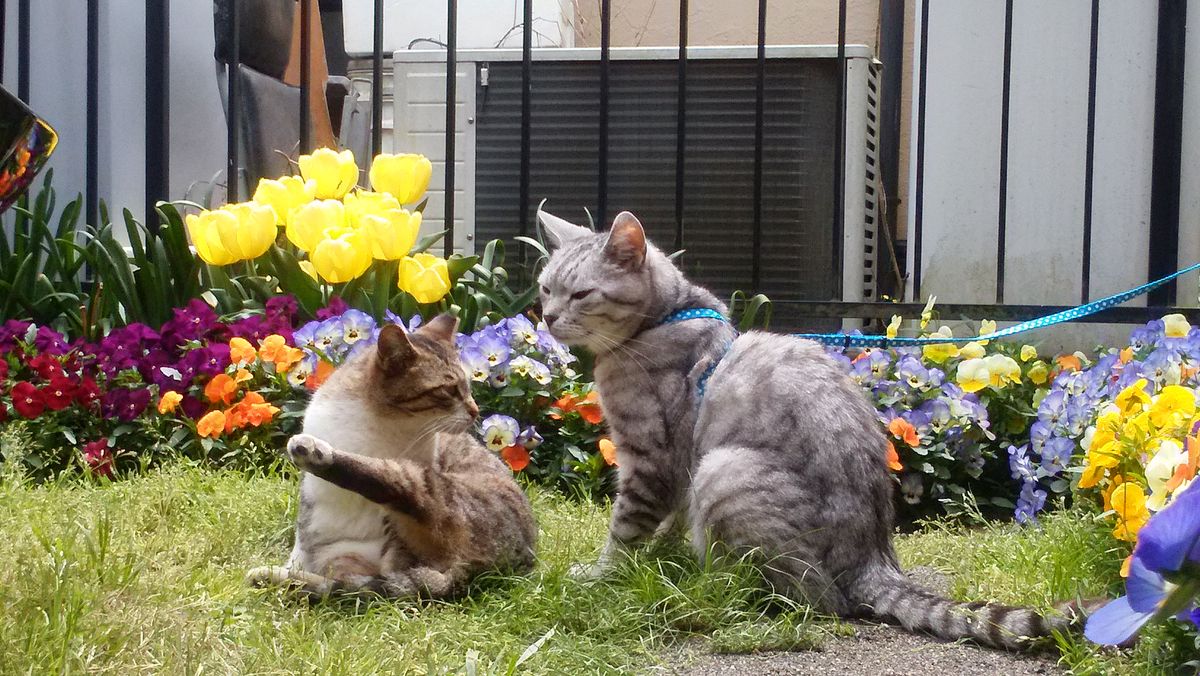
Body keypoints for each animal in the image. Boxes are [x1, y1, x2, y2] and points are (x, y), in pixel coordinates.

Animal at [246, 314, 537, 600]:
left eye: (467, 387)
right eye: (449, 390)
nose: (476, 411)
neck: (384, 422)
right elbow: (304, 542)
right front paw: (292, 570)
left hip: (430, 488)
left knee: (395, 490)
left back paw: (315, 453)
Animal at [535, 211, 1080, 648]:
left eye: (580, 294)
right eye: (545, 288)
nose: (548, 316)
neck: (664, 318)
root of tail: (874, 559)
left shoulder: (652, 460)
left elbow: (625, 528)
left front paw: (603, 575)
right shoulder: (677, 476)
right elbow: (669, 522)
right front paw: (659, 559)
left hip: (725, 469)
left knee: (807, 598)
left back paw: (704, 589)